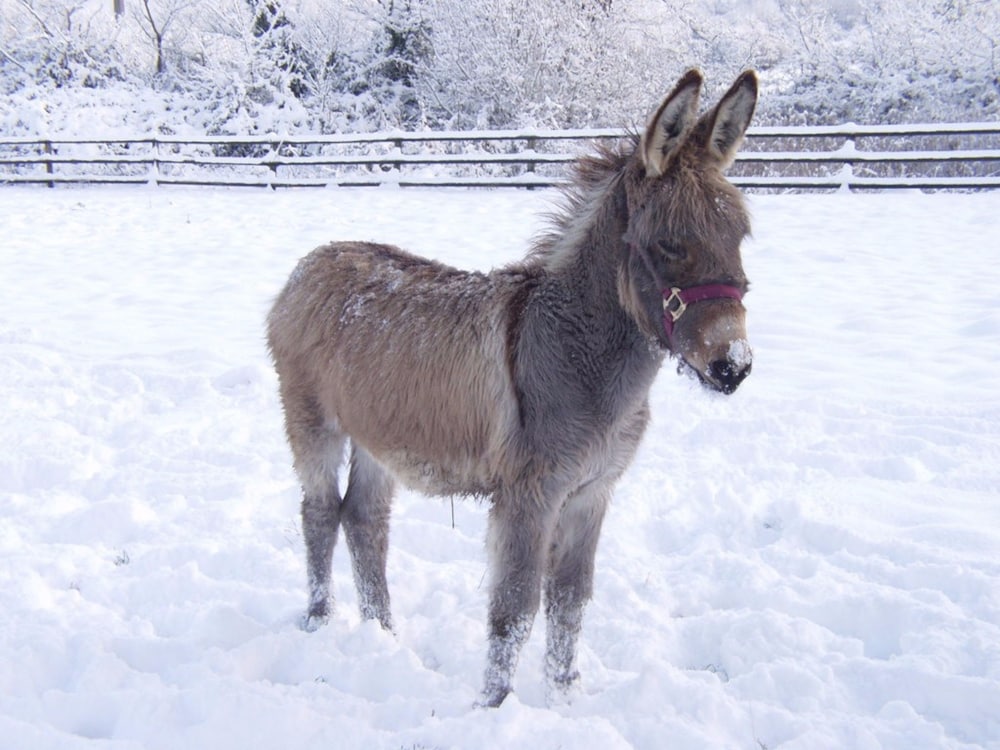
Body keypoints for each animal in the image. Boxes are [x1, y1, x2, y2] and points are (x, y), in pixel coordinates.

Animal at [266, 69, 758, 707]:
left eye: (740, 235)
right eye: (669, 244)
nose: (734, 365)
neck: (579, 356)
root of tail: (315, 258)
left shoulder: (592, 493)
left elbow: (570, 604)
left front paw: (565, 699)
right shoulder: (530, 496)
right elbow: (515, 609)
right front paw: (491, 708)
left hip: (377, 435)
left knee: (365, 520)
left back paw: (382, 634)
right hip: (312, 421)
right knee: (321, 512)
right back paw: (320, 622)